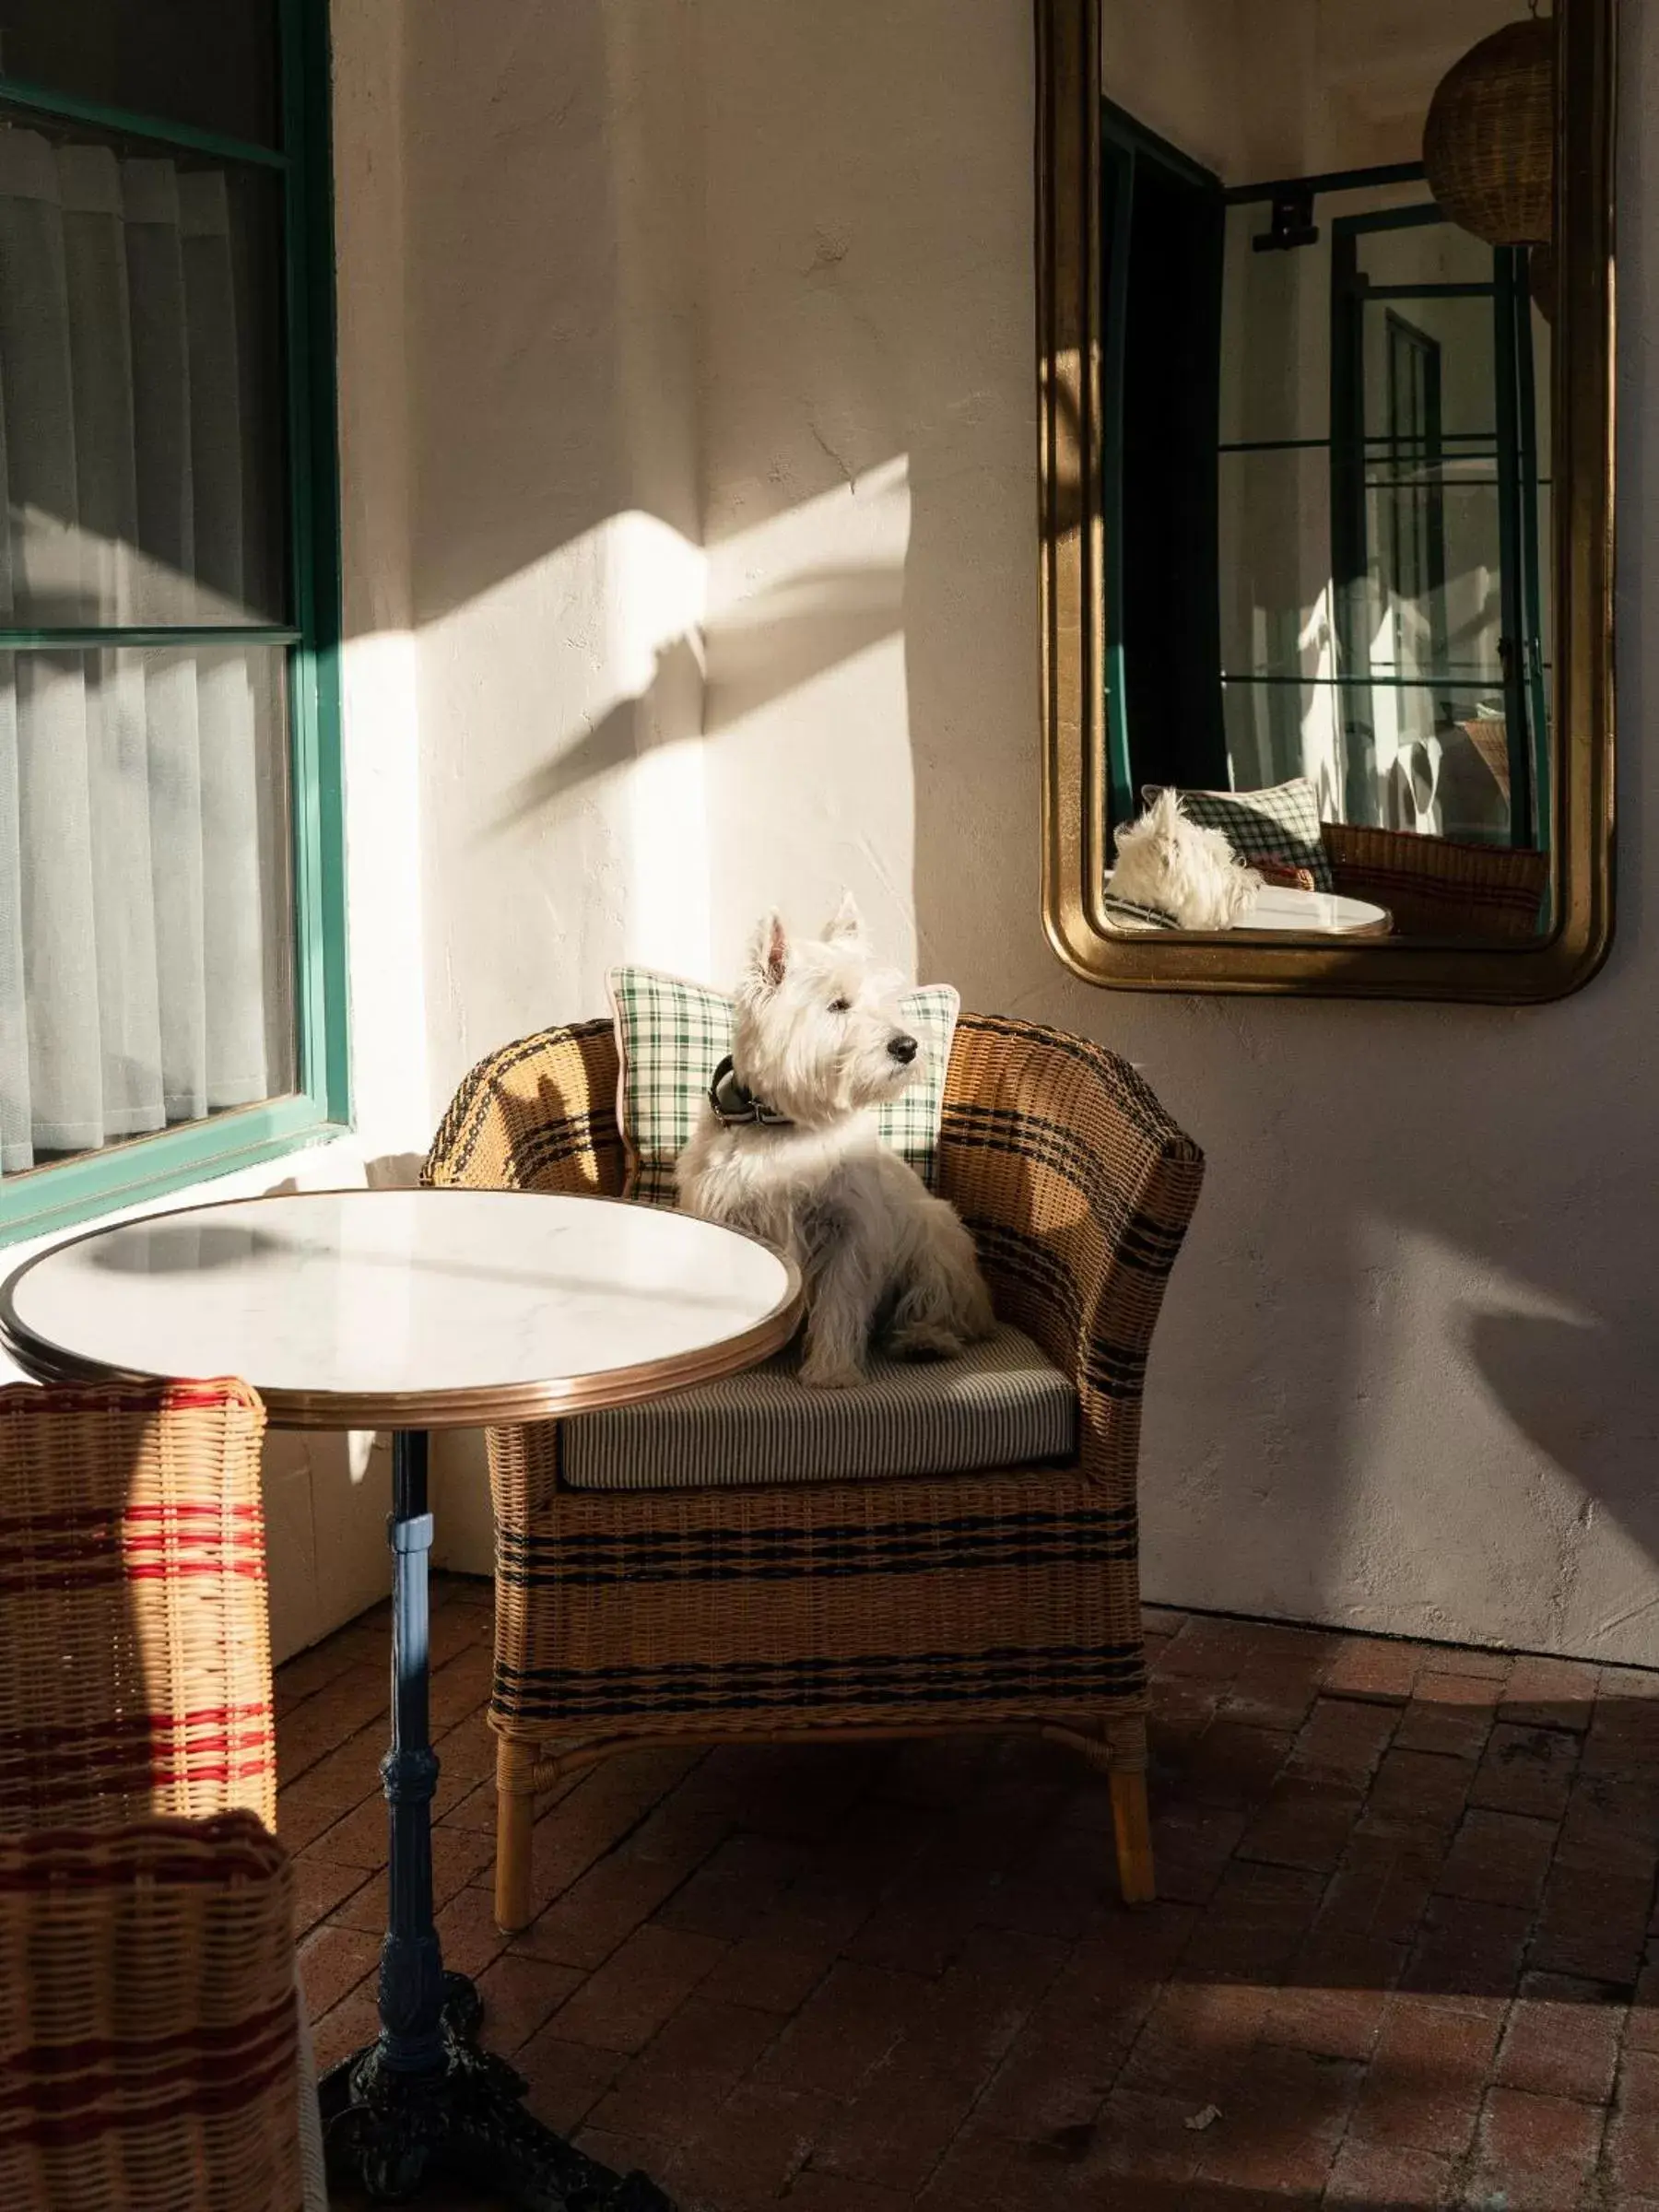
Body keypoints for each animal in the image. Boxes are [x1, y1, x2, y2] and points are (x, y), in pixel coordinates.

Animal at [677, 893, 995, 1380]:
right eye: (838, 1005)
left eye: (885, 999)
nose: (907, 1047)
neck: (790, 1122)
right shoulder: (731, 1212)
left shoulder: (849, 1228)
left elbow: (839, 1301)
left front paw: (831, 1372)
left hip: (936, 1236)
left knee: (940, 1304)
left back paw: (925, 1340)